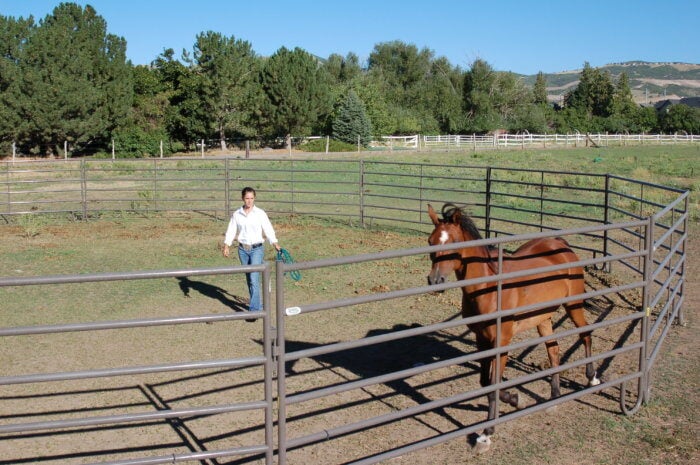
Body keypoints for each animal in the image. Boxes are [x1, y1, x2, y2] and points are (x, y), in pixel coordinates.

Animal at [424, 204, 600, 450]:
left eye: (454, 242)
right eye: (430, 241)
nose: (435, 280)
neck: (488, 288)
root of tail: (561, 244)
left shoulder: (501, 341)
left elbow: (494, 384)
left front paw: (486, 433)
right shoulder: (481, 340)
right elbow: (485, 382)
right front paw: (516, 400)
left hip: (573, 305)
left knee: (585, 334)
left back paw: (592, 377)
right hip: (543, 319)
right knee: (553, 350)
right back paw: (554, 396)